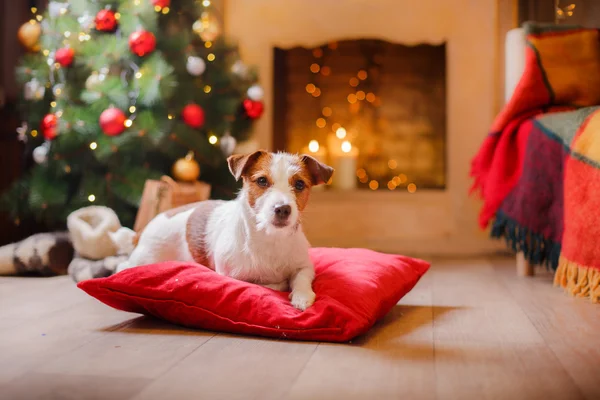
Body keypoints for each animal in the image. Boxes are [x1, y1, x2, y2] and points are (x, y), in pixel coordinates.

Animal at [110, 150, 336, 310]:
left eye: (299, 184)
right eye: (262, 181)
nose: (282, 208)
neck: (270, 239)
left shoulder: (304, 266)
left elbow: (301, 277)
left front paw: (302, 295)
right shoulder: (232, 277)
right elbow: (267, 284)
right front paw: (279, 284)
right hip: (146, 258)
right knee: (123, 265)